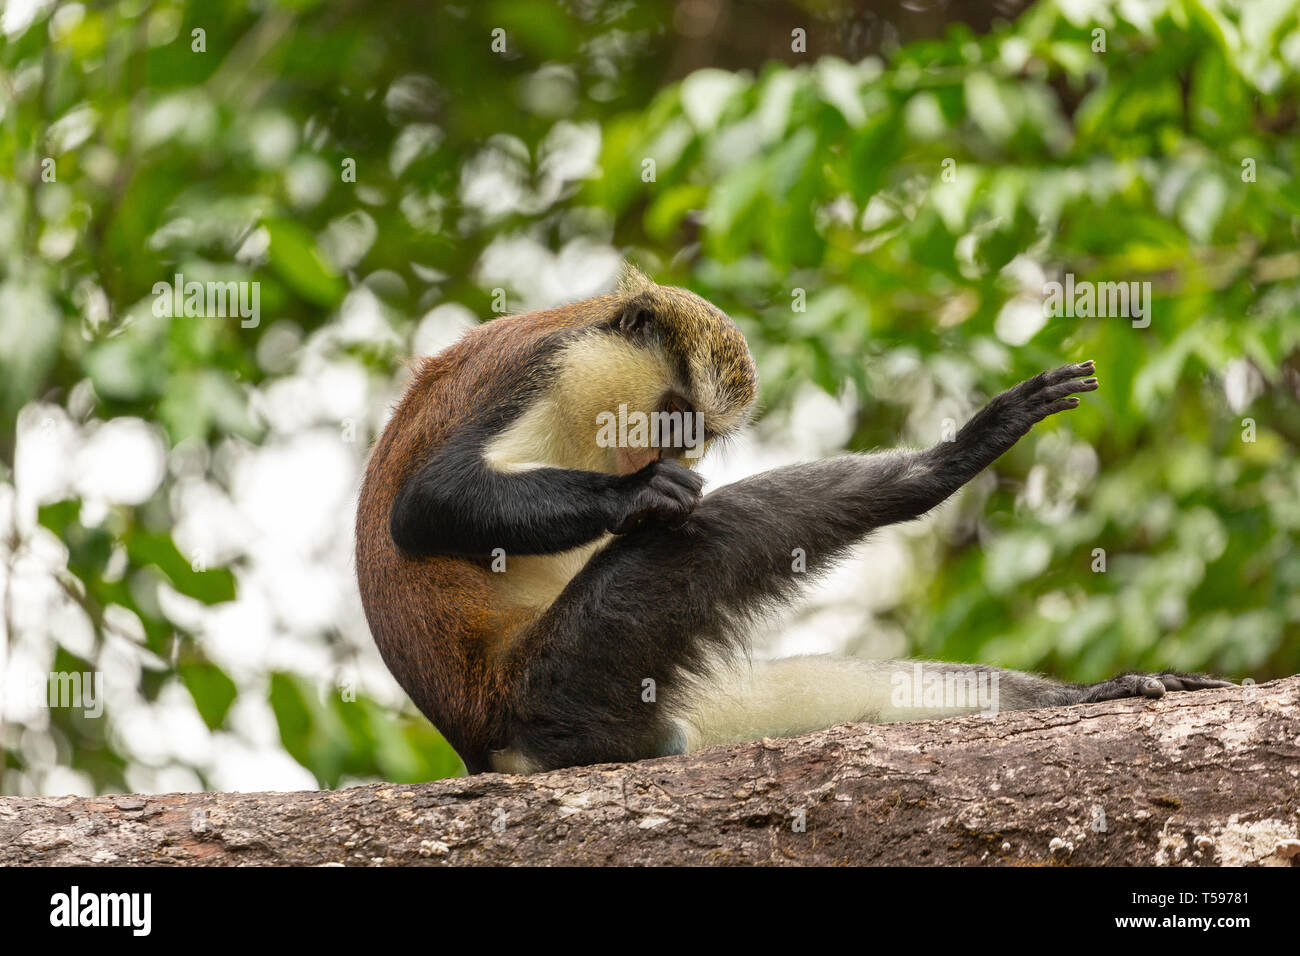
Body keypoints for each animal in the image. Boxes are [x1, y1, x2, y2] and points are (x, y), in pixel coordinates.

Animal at [356, 265, 1227, 775]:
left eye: (695, 429)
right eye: (673, 418)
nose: (673, 453)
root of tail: (480, 738)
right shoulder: (545, 372)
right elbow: (426, 506)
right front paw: (639, 497)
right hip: (553, 678)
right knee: (714, 531)